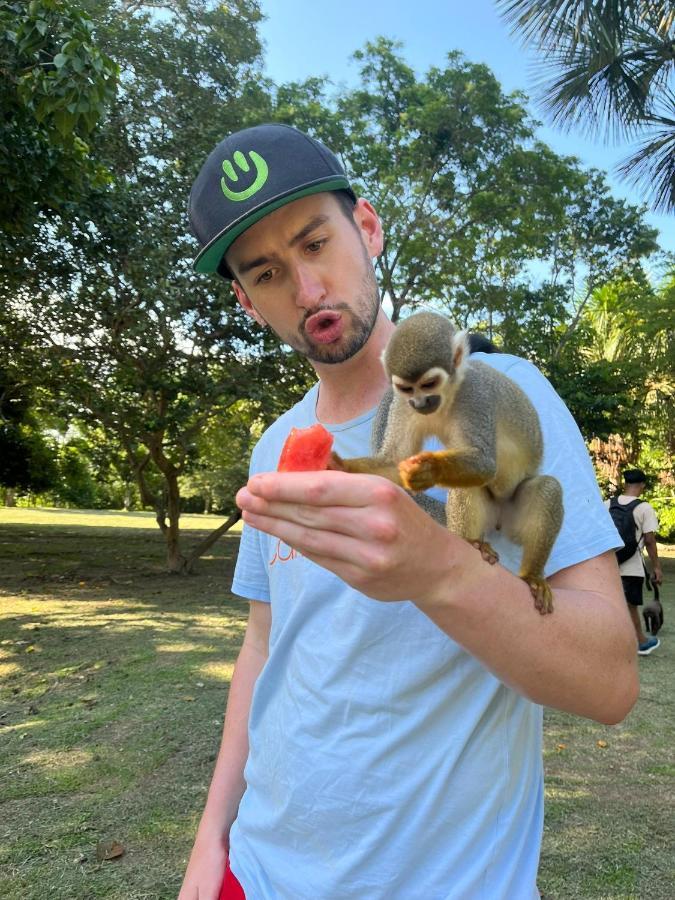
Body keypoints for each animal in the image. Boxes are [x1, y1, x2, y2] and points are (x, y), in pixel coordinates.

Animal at [334, 310, 564, 612]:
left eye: (428, 384)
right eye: (407, 388)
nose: (420, 403)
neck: (447, 395)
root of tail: (500, 520)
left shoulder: (475, 396)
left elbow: (485, 462)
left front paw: (429, 468)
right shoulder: (402, 405)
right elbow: (394, 459)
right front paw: (341, 467)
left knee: (547, 488)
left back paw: (532, 576)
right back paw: (472, 544)